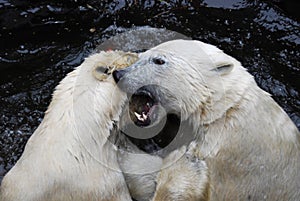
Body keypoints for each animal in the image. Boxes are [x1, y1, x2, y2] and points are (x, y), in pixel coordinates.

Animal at [112, 39, 300, 201]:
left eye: (159, 60)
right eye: (140, 57)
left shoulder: (226, 164)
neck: (223, 112)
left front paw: (183, 161)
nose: (119, 74)